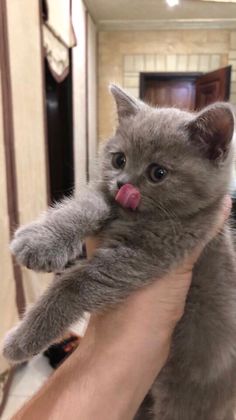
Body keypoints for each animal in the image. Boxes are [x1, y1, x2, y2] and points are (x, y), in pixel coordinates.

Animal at [2, 85, 236, 420]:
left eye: (158, 172)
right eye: (119, 159)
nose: (122, 183)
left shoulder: (154, 254)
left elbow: (75, 284)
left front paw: (21, 341)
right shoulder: (107, 197)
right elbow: (86, 204)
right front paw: (38, 240)